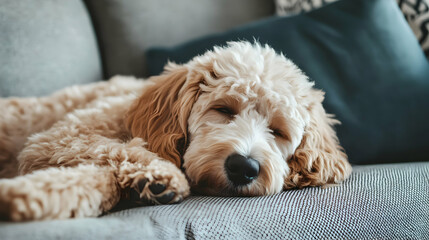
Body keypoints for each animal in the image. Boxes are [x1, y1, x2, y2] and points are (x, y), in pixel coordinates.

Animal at [0, 41, 352, 221]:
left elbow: (99, 179)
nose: (243, 167)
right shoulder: (58, 138)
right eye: (224, 109)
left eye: (277, 131)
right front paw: (159, 175)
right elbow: (113, 150)